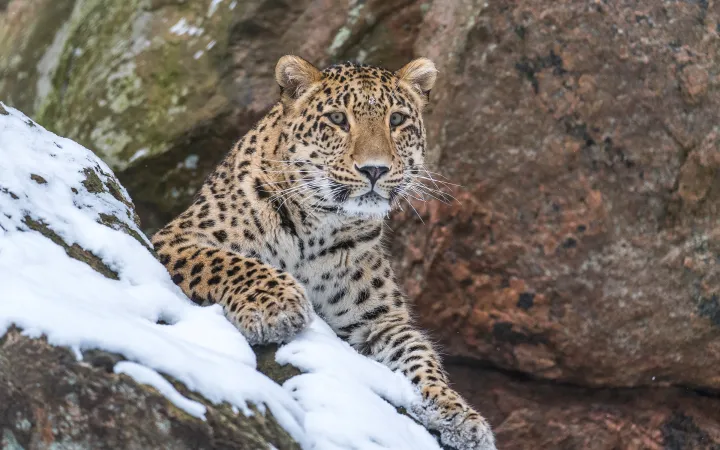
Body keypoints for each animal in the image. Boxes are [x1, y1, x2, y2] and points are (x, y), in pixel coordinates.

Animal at [152, 55, 496, 450]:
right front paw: (277, 307)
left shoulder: (377, 322)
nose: (375, 169)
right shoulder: (177, 238)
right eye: (337, 119)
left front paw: (459, 414)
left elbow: (420, 356)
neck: (321, 224)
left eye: (396, 120)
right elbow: (233, 263)